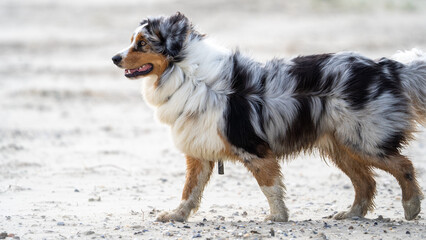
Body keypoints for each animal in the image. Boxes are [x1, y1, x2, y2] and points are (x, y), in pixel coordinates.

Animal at [111, 12, 424, 222]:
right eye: (132, 42)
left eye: (142, 44)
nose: (114, 58)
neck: (188, 75)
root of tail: (386, 67)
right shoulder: (199, 150)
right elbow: (189, 190)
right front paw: (176, 216)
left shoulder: (253, 148)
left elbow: (269, 186)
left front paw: (277, 217)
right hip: (343, 145)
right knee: (366, 182)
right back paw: (351, 214)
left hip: (365, 141)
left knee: (404, 165)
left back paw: (411, 208)